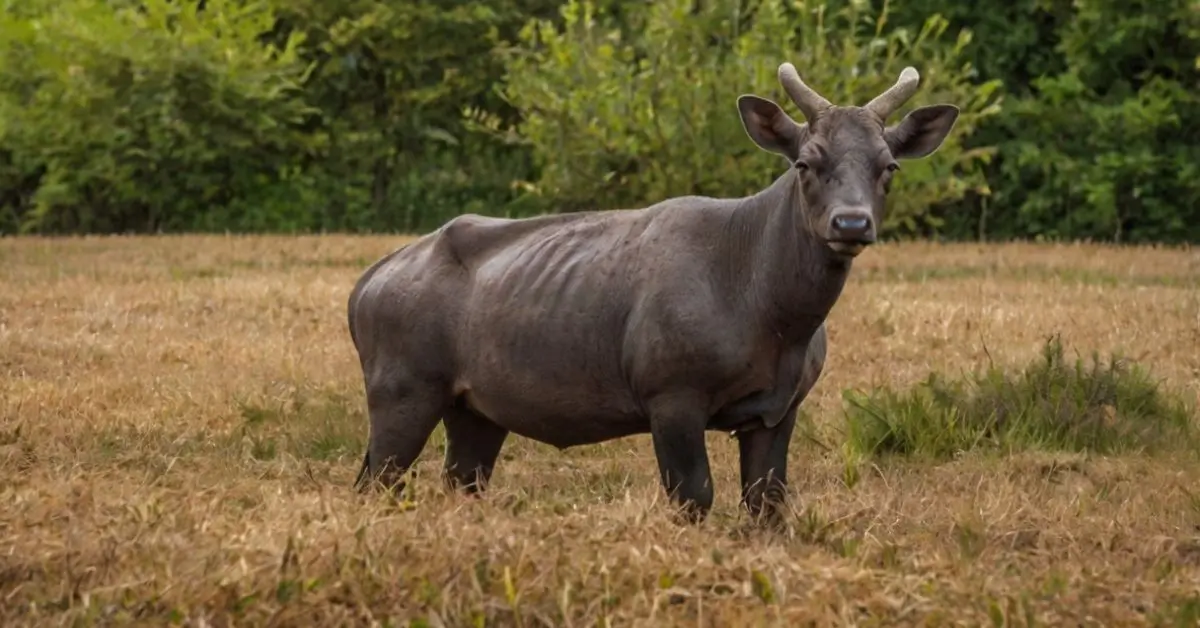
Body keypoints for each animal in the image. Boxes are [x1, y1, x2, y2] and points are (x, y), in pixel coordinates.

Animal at [345, 61, 955, 525]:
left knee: (460, 480)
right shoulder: (671, 391)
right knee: (375, 480)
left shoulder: (781, 408)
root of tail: (365, 286)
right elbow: (694, 497)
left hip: (474, 407)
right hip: (402, 386)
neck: (771, 317)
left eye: (889, 166)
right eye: (806, 161)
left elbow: (768, 505)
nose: (851, 223)